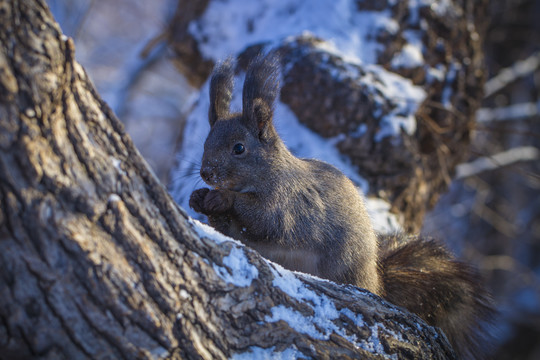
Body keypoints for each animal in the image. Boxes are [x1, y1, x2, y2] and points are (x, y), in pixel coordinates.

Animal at [189, 53, 494, 358]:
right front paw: (199, 198)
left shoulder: (288, 206)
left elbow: (264, 221)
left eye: (239, 148)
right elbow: (230, 230)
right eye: (205, 143)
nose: (206, 173)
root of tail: (375, 280)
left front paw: (222, 198)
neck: (270, 173)